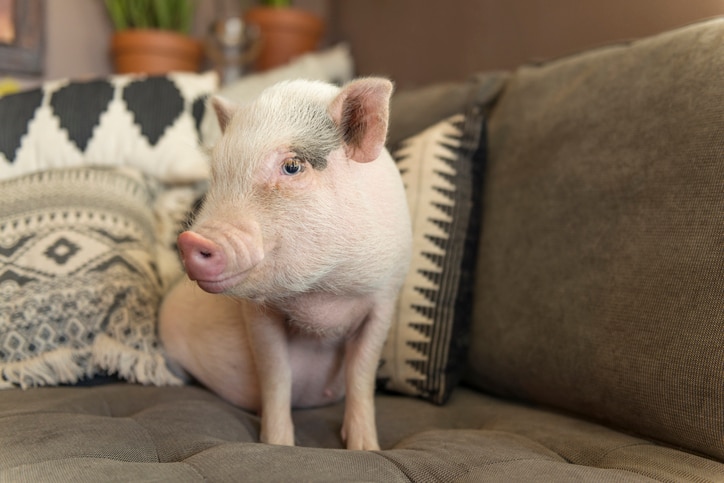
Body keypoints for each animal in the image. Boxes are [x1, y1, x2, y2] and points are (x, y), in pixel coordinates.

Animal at [159, 78, 412, 451]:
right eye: (217, 174)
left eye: (292, 166)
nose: (191, 241)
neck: (322, 299)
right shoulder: (259, 314)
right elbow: (276, 375)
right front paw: (278, 446)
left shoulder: (384, 299)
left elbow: (361, 373)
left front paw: (366, 448)